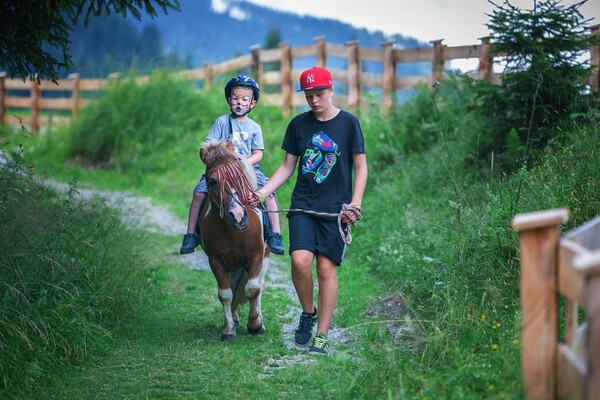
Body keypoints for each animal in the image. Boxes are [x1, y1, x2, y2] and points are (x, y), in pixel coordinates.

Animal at [198, 139, 270, 340]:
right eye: (213, 181)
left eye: (240, 176)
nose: (238, 216)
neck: (231, 230)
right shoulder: (215, 260)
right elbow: (226, 294)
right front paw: (228, 329)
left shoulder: (256, 256)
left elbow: (253, 289)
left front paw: (255, 325)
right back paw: (235, 318)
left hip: (265, 256)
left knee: (259, 285)